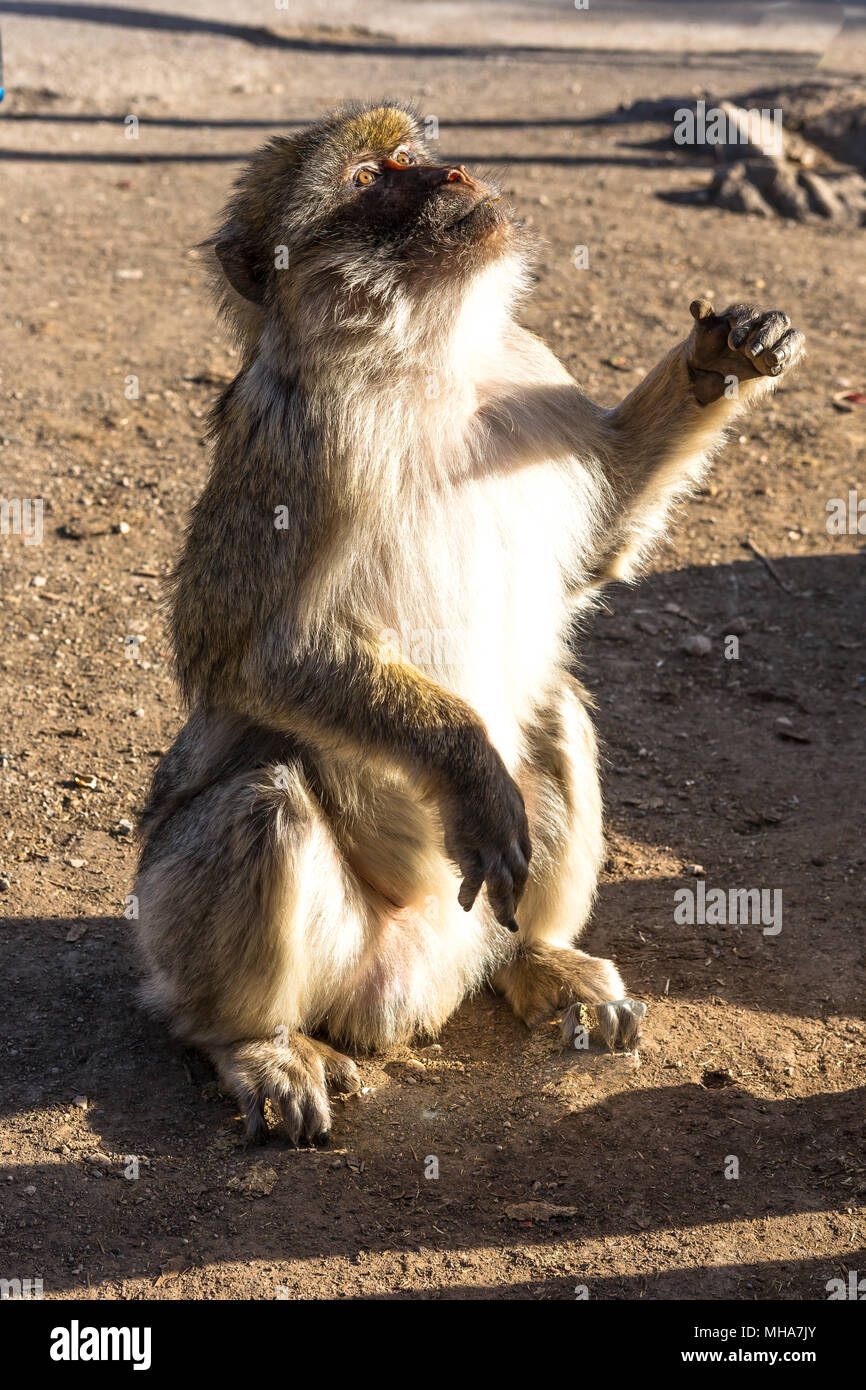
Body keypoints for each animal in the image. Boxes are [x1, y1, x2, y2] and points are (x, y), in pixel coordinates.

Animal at [133, 101, 805, 1145]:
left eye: (411, 155)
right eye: (369, 180)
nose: (451, 175)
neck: (425, 358)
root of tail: (412, 990)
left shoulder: (531, 365)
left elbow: (600, 539)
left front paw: (720, 357)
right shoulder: (301, 444)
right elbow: (255, 651)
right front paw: (469, 770)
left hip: (476, 923)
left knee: (554, 712)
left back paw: (538, 960)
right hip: (192, 932)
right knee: (262, 803)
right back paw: (255, 1043)